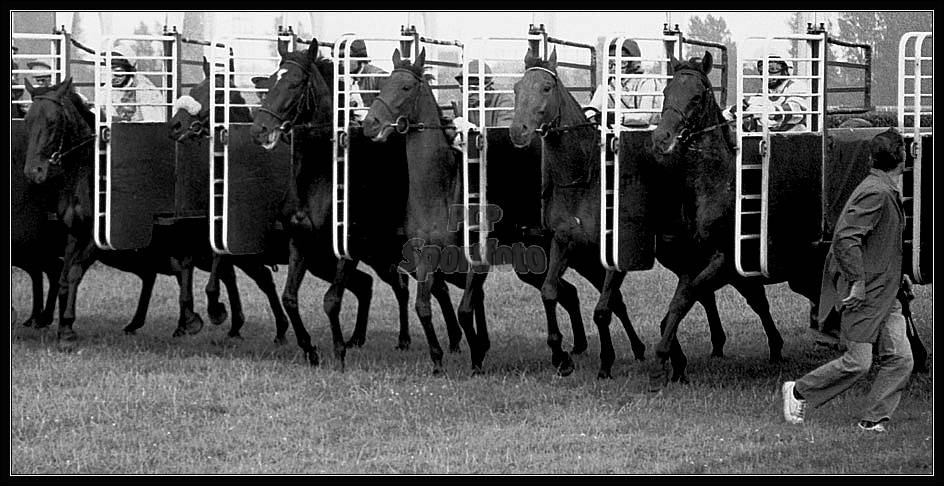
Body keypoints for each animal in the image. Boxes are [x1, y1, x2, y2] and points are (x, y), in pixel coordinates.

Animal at [22, 79, 206, 346]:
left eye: (53, 121)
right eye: (27, 119)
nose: (34, 172)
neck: (86, 175)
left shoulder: (95, 237)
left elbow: (74, 273)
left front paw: (67, 328)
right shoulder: (74, 233)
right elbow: (64, 276)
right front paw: (63, 324)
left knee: (181, 266)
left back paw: (191, 320)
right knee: (162, 270)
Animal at [168, 56, 290, 342]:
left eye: (217, 94)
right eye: (194, 89)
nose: (176, 125)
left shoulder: (227, 233)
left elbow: (217, 268)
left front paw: (215, 310)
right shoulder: (197, 228)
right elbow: (187, 266)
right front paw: (189, 318)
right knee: (262, 277)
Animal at [508, 49, 780, 378]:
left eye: (546, 88)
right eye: (517, 89)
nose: (518, 131)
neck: (586, 178)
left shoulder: (617, 255)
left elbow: (603, 309)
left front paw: (606, 361)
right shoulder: (566, 243)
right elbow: (551, 291)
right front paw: (562, 356)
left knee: (747, 295)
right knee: (703, 293)